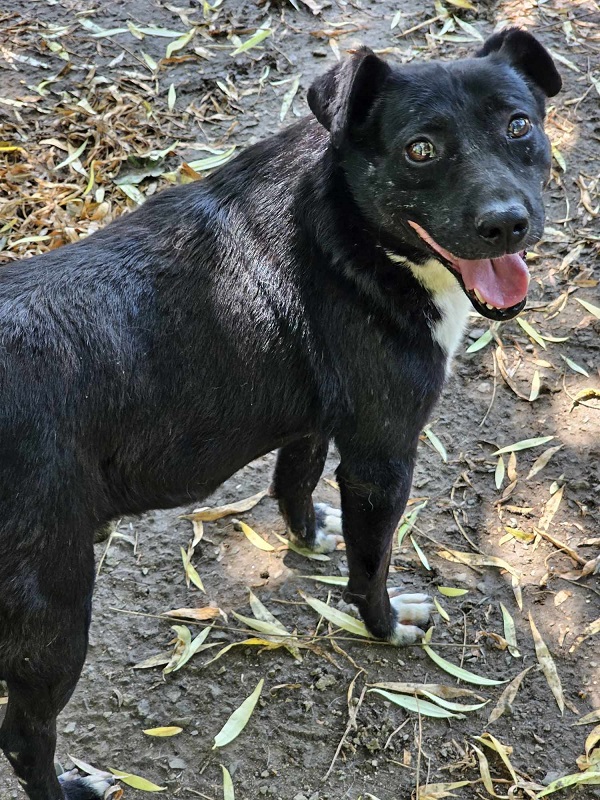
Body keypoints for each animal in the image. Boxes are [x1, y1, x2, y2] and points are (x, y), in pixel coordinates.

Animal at [0, 28, 560, 799]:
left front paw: (311, 535)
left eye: (519, 125)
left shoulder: (316, 420)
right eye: (420, 149)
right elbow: (371, 566)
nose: (508, 224)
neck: (346, 230)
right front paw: (385, 624)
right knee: (25, 736)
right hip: (53, 605)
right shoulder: (382, 458)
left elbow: (293, 482)